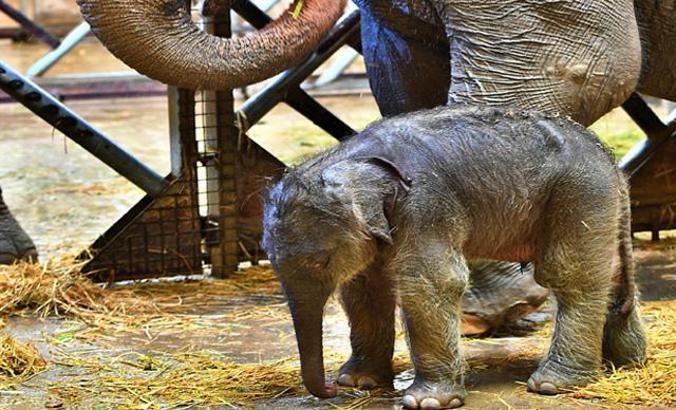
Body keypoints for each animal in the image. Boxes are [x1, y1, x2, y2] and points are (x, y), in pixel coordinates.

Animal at [261, 105, 647, 409]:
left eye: (320, 261)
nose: (329, 389)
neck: (352, 157)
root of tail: (611, 161)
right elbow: (364, 290)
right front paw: (358, 383)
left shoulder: (426, 204)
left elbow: (430, 283)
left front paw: (426, 402)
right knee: (612, 274)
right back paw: (628, 364)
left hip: (580, 193)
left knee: (570, 276)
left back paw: (554, 384)